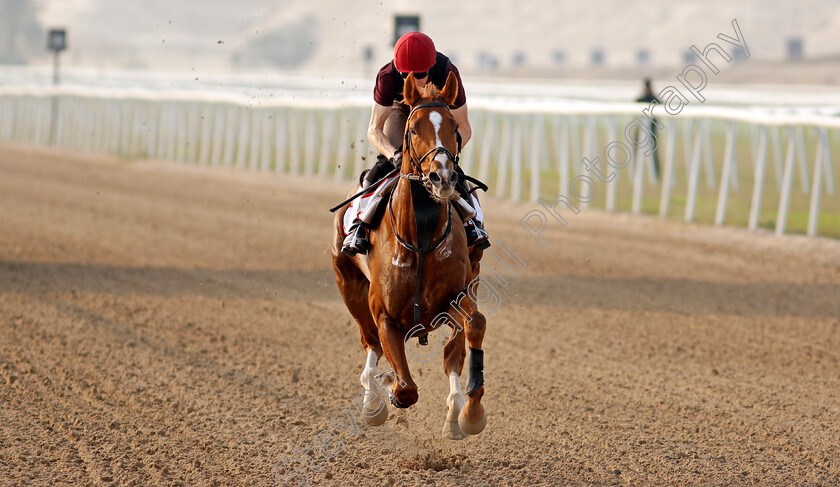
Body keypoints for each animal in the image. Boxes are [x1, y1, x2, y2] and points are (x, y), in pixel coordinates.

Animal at [328, 72, 486, 442]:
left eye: (454, 128)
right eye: (413, 129)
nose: (443, 176)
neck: (422, 239)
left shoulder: (457, 298)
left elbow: (472, 329)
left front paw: (470, 413)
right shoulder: (385, 314)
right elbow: (405, 388)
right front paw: (385, 390)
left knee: (452, 353)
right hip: (349, 287)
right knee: (369, 341)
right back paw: (373, 401)